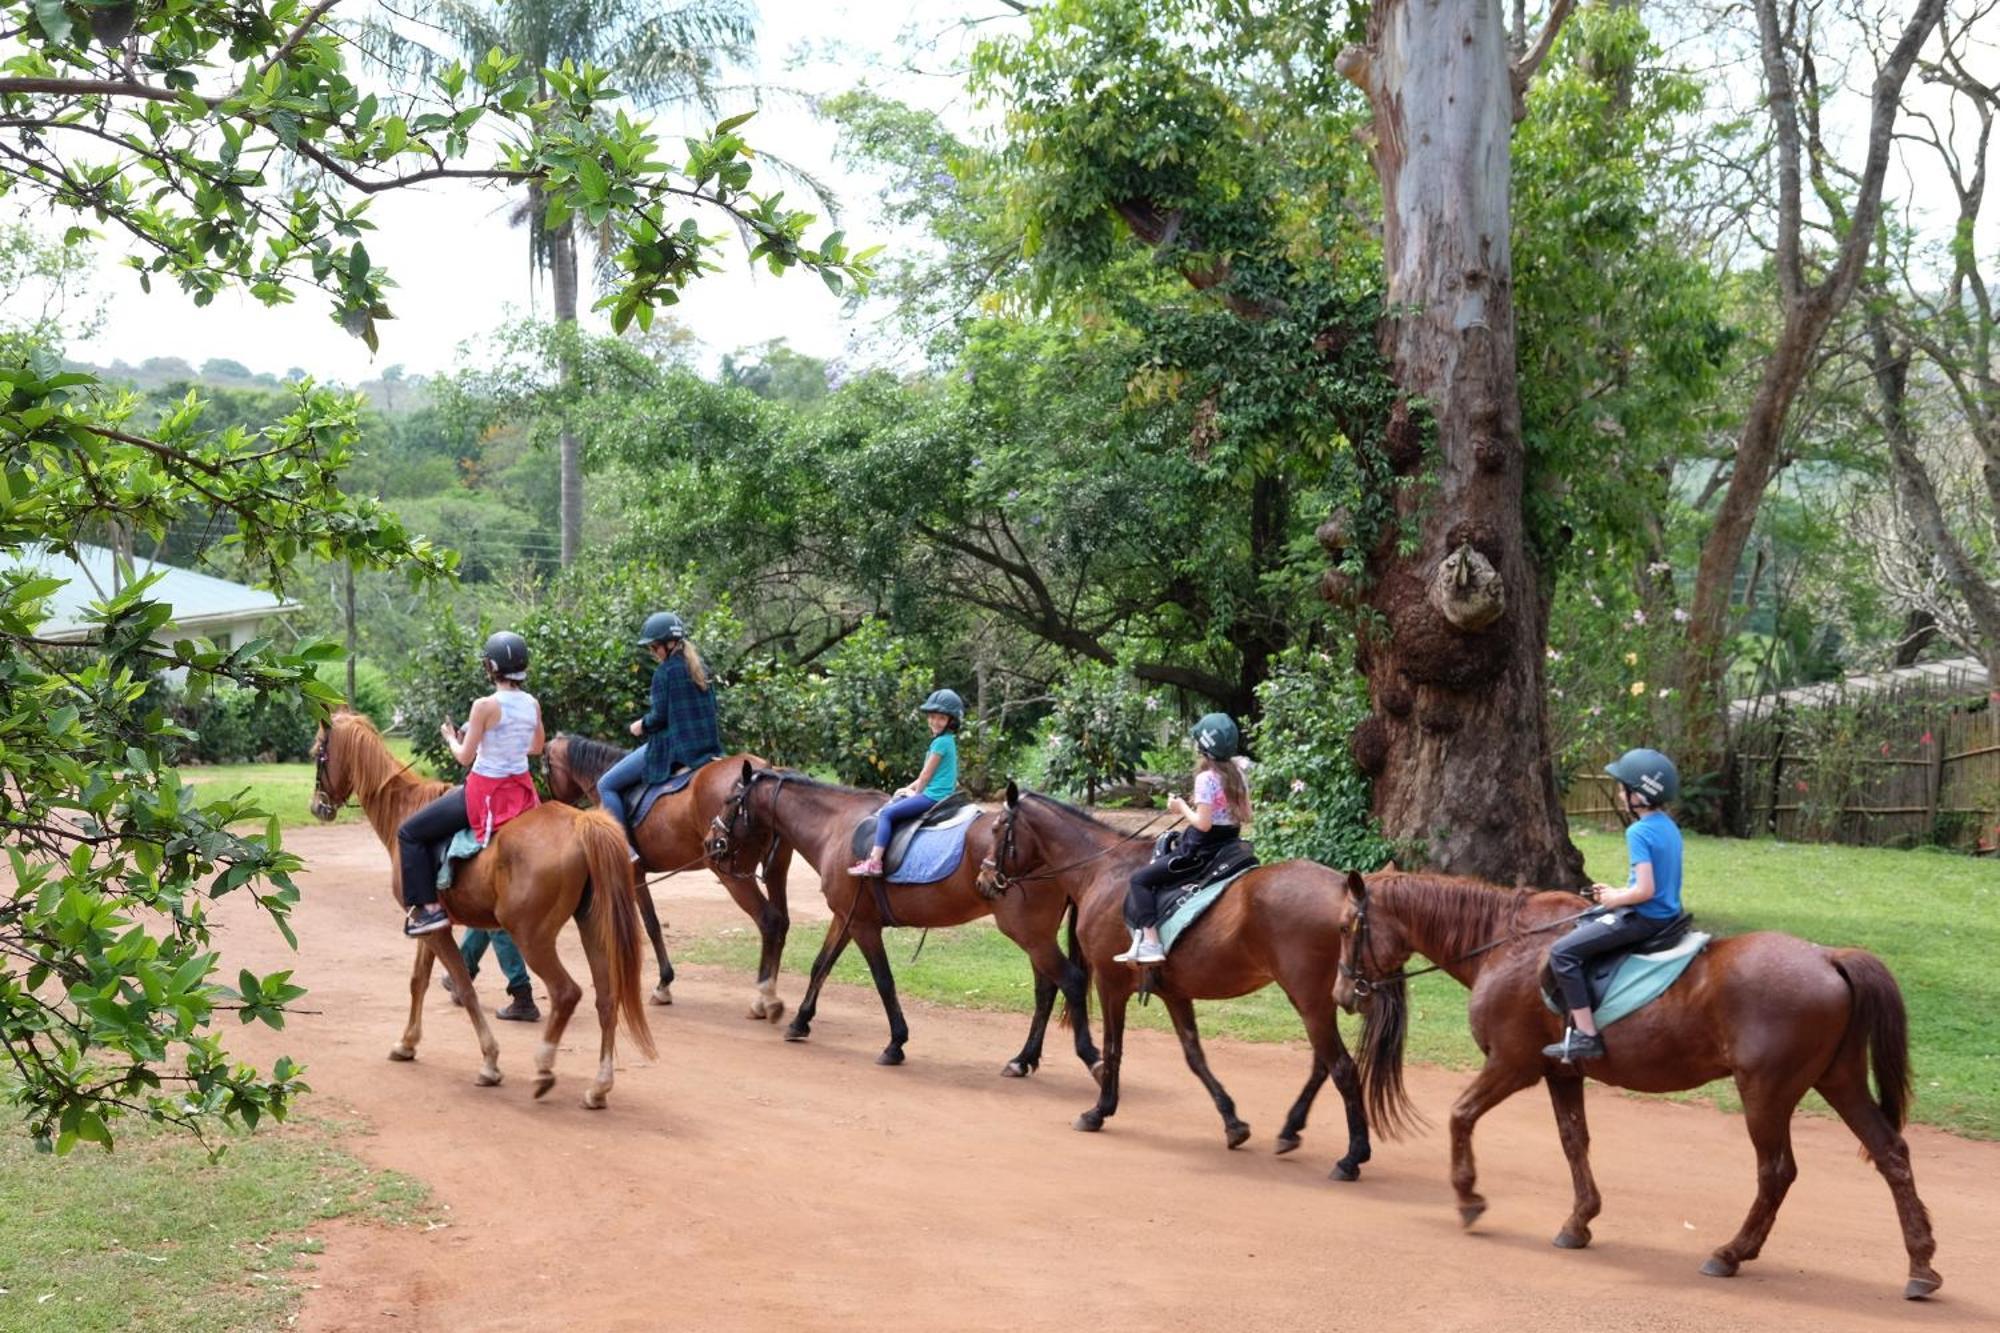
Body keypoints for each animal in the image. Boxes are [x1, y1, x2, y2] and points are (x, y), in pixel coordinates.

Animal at [308, 712, 656, 1104]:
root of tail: (582, 823)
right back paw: (599, 1085)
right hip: (591, 926)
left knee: (567, 993)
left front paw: (489, 1062)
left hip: (531, 937)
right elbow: (418, 981)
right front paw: (407, 1043)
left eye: (318, 753)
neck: (405, 807)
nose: (317, 806)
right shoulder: (430, 924)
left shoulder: (438, 930)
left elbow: (464, 987)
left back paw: (544, 1067)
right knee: (607, 997)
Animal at [552, 736, 800, 1016]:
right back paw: (767, 995)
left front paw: (663, 984)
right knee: (782, 922)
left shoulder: (634, 875)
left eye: (546, 766)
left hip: (732, 874)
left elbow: (650, 925)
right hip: (777, 869)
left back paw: (765, 996)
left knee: (769, 921)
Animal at [712, 756, 1104, 1072]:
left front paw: (895, 1043)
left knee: (1069, 981)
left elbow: (884, 980)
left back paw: (1089, 1057)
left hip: (1028, 933)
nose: (712, 842)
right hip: (1036, 935)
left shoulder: (863, 926)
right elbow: (820, 966)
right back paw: (1023, 1059)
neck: (835, 826)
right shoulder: (845, 918)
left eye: (731, 800)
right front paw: (800, 1021)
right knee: (1046, 990)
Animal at [980, 780, 1376, 1176]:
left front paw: (1099, 1110)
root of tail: (1342, 892)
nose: (984, 879)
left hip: (1308, 999)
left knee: (1342, 1066)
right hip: (1316, 1000)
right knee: (1323, 1064)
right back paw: (1292, 1129)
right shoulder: (1174, 992)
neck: (1103, 869)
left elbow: (1112, 1047)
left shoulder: (1110, 982)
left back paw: (1353, 1155)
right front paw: (1233, 1122)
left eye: (998, 829)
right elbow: (1194, 1055)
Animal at [1336, 868, 1944, 1288]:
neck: (1507, 944)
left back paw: (1730, 1253)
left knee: (1776, 1172)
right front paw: (1579, 1222)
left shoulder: (1512, 1065)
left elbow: (1460, 1115)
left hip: (1766, 1093)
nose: (1344, 994)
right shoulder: (1560, 1072)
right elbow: (1574, 1141)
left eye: (1346, 927)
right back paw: (1921, 1266)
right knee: (1891, 1154)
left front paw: (1468, 1198)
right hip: (1838, 1081)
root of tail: (1829, 958)